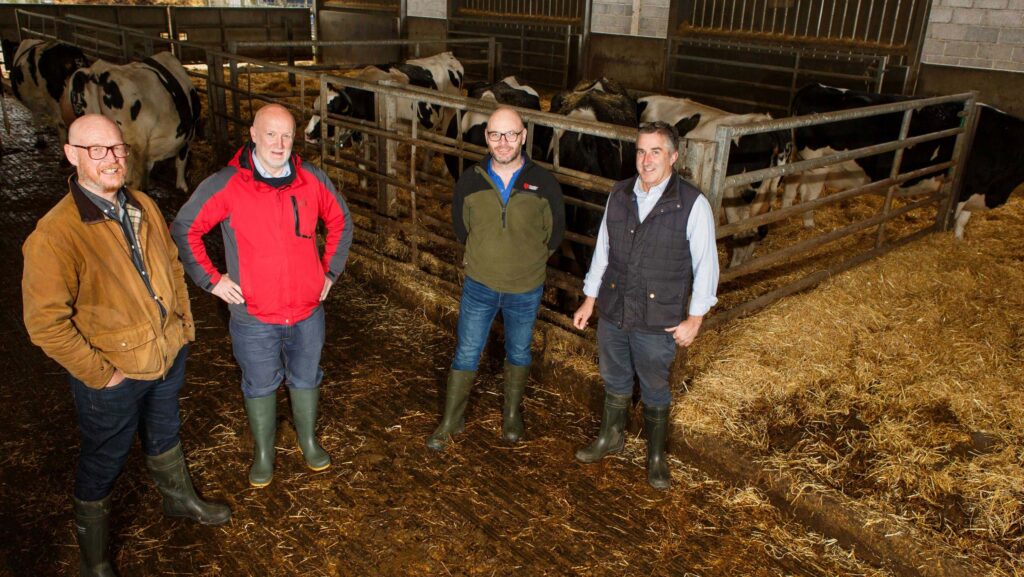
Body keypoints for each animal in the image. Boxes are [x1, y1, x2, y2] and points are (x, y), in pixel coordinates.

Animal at [63, 52, 201, 191]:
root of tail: (97, 72)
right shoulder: (189, 135)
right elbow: (181, 160)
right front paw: (182, 186)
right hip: (134, 146)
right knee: (132, 180)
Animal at [778, 83, 962, 228]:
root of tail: (813, 87)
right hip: (818, 165)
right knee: (807, 195)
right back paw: (809, 225)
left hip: (799, 159)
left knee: (792, 183)